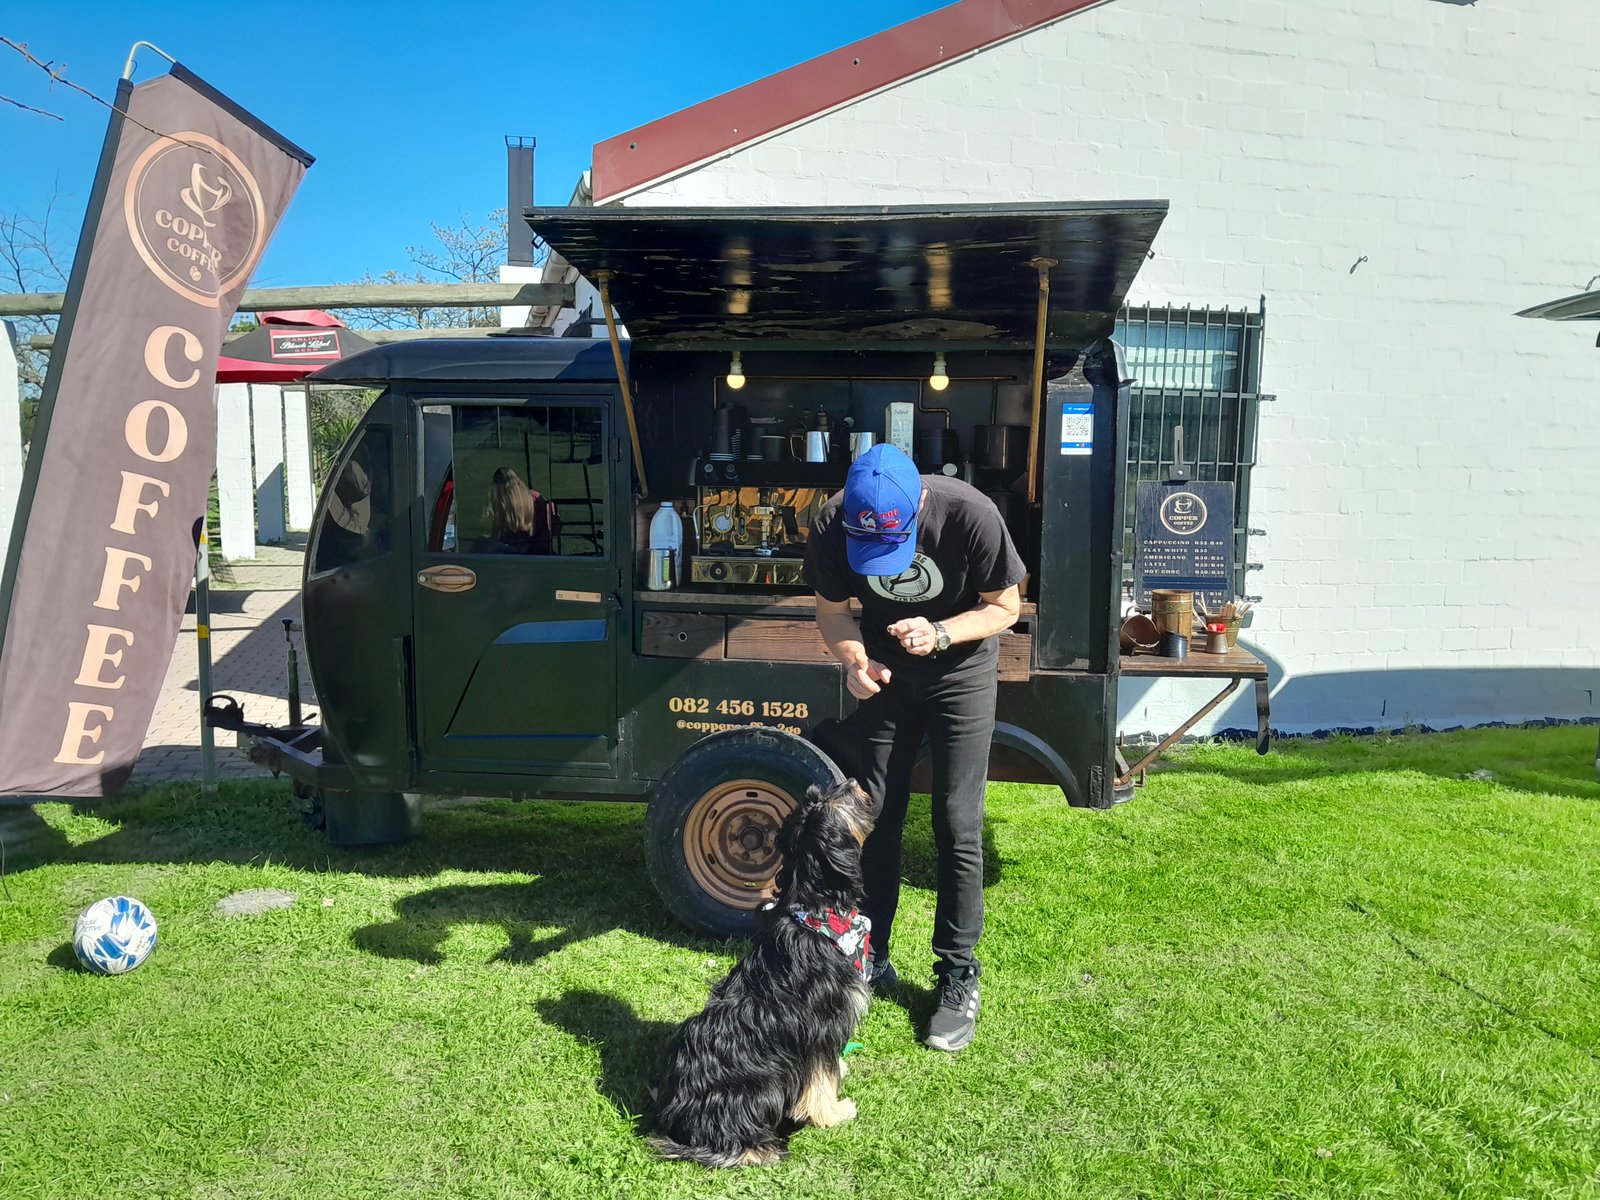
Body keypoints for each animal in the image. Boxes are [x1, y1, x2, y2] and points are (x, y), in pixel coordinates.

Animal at [650, 778, 876, 1168]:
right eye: (834, 800)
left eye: (820, 796)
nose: (853, 782)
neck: (817, 909)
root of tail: (693, 1130)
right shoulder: (820, 1026)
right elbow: (819, 1079)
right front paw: (834, 1113)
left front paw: (841, 1074)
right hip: (766, 1080)